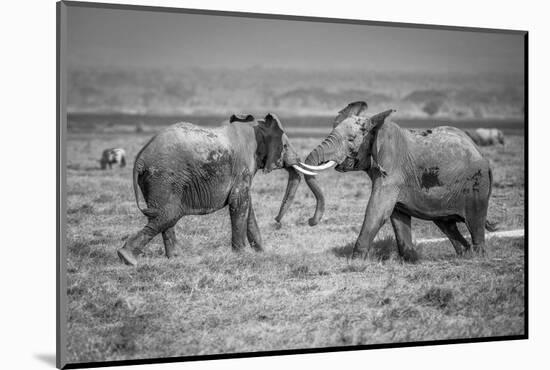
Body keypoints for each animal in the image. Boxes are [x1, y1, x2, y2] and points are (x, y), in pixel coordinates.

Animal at [117, 113, 314, 266]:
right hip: (163, 176)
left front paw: (261, 253)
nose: (277, 220)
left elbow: (247, 206)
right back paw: (127, 258)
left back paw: (174, 258)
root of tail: (140, 158)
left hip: (154, 179)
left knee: (164, 215)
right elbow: (239, 202)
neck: (255, 127)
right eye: (285, 146)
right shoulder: (243, 167)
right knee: (169, 214)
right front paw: (241, 256)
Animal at [278, 102, 498, 260]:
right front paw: (410, 259)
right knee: (447, 224)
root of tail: (481, 154)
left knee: (474, 221)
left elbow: (377, 209)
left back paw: (477, 257)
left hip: (476, 185)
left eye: (351, 140)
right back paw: (464, 254)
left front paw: (355, 261)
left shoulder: (392, 171)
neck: (377, 127)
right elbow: (396, 215)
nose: (310, 221)